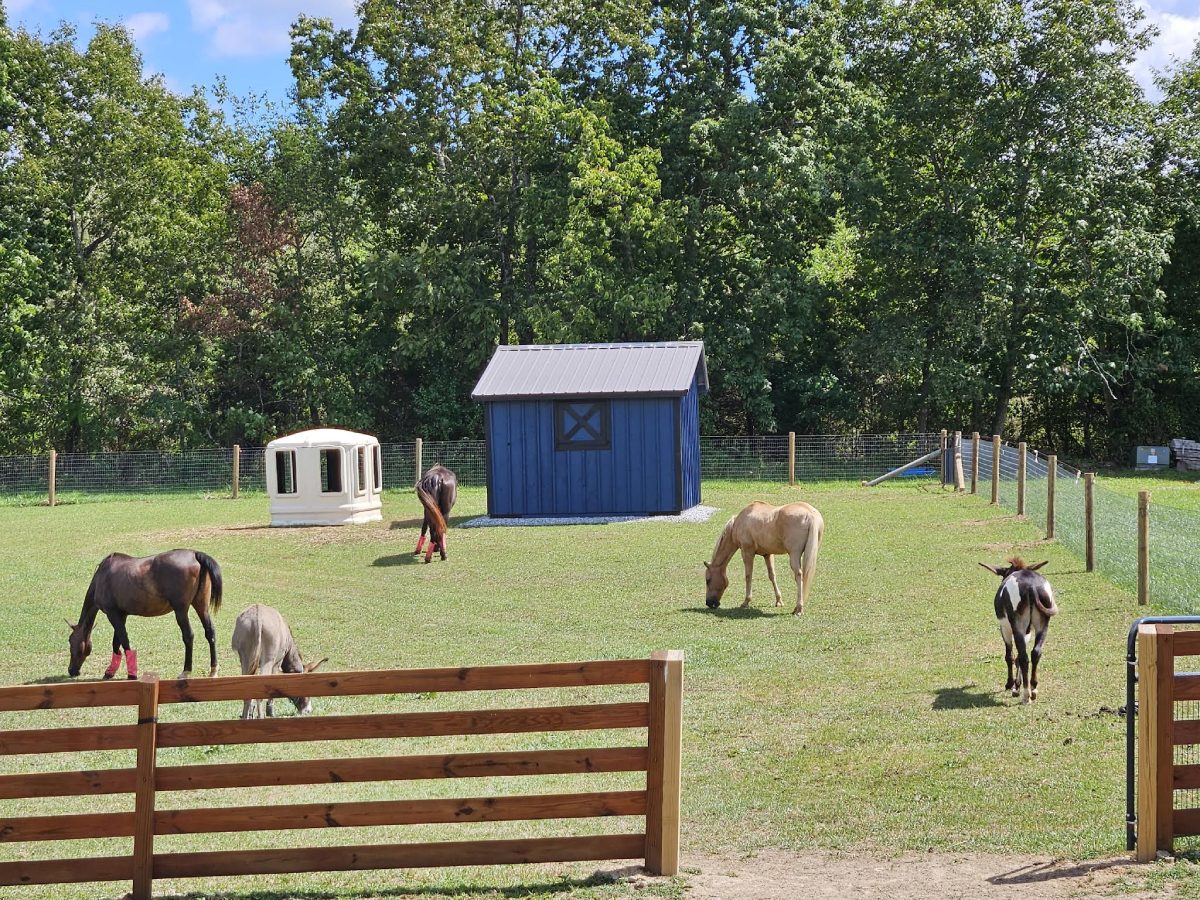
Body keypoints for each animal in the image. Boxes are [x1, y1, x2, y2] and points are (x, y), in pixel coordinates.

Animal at [68, 549, 224, 681]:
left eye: (70, 641)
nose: (72, 670)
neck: (102, 576)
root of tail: (194, 554)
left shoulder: (113, 614)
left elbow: (124, 642)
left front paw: (132, 673)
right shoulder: (121, 615)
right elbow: (116, 643)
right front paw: (110, 672)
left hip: (181, 610)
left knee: (188, 636)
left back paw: (186, 671)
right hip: (201, 607)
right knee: (210, 632)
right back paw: (213, 670)